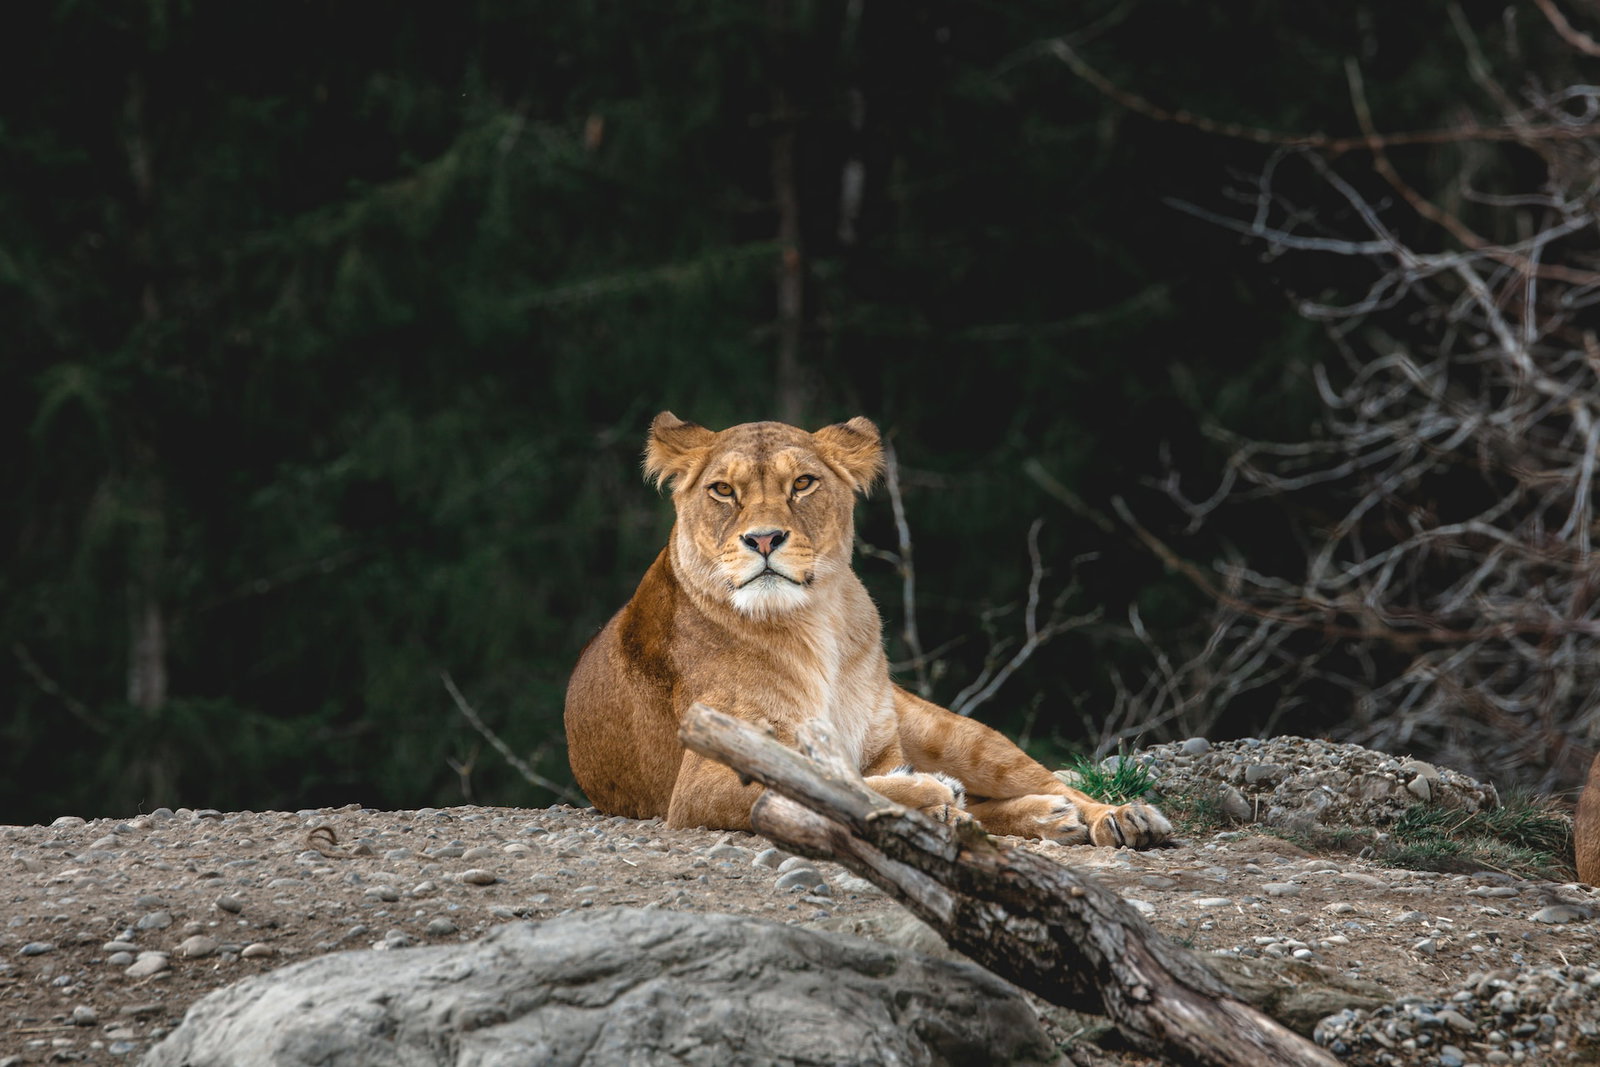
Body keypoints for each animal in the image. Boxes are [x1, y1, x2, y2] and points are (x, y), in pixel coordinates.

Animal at [563, 412, 1172, 847]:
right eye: (722, 491)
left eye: (803, 483)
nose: (763, 539)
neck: (814, 624)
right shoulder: (699, 785)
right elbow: (826, 779)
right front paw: (929, 795)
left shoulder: (881, 750)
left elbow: (851, 778)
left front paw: (934, 796)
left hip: (957, 736)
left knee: (1042, 781)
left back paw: (1117, 817)